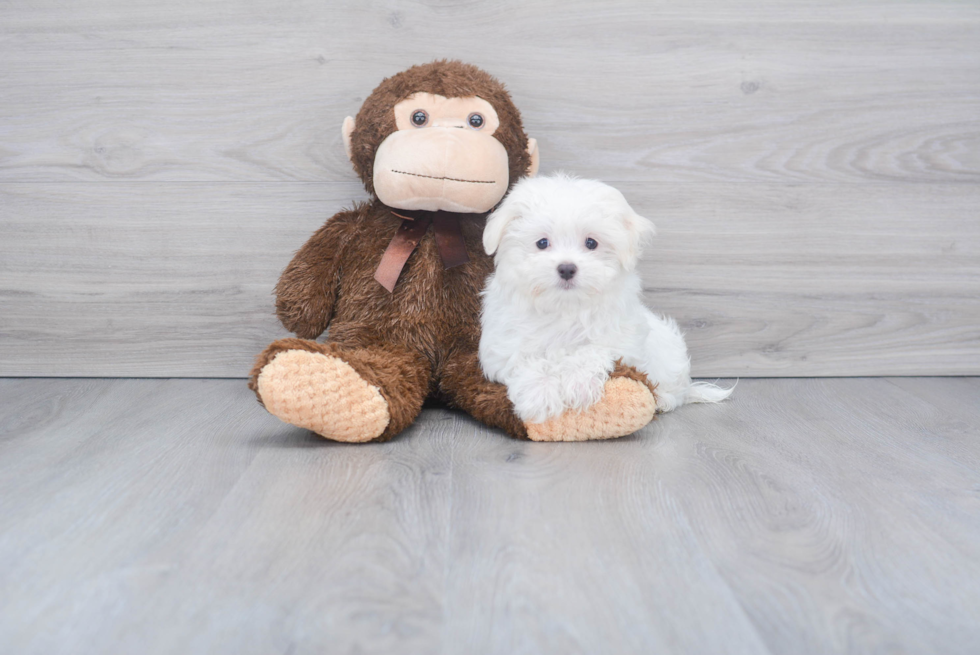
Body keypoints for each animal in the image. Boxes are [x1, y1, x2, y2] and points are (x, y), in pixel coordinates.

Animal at [478, 172, 732, 422]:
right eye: (542, 243)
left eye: (591, 243)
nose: (567, 268)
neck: (565, 307)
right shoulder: (504, 344)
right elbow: (525, 360)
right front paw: (540, 394)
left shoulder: (622, 340)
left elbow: (593, 350)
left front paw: (577, 383)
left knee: (675, 390)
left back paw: (664, 400)